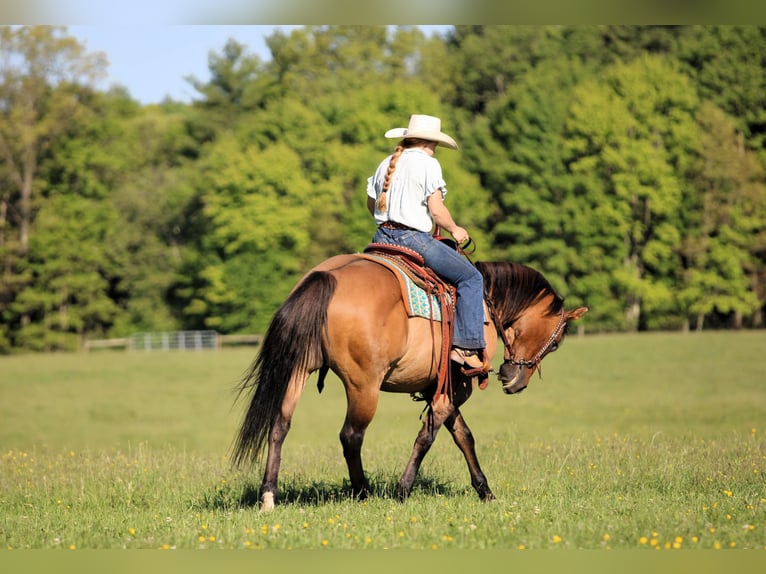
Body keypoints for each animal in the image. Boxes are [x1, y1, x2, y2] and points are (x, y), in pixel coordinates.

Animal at [232, 251, 588, 511]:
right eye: (556, 343)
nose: (514, 381)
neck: (486, 301)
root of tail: (326, 276)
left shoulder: (439, 389)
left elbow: (463, 436)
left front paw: (485, 490)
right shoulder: (454, 389)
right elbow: (427, 437)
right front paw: (403, 490)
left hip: (297, 372)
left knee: (279, 426)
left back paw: (268, 495)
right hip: (363, 386)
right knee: (351, 436)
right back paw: (362, 493)